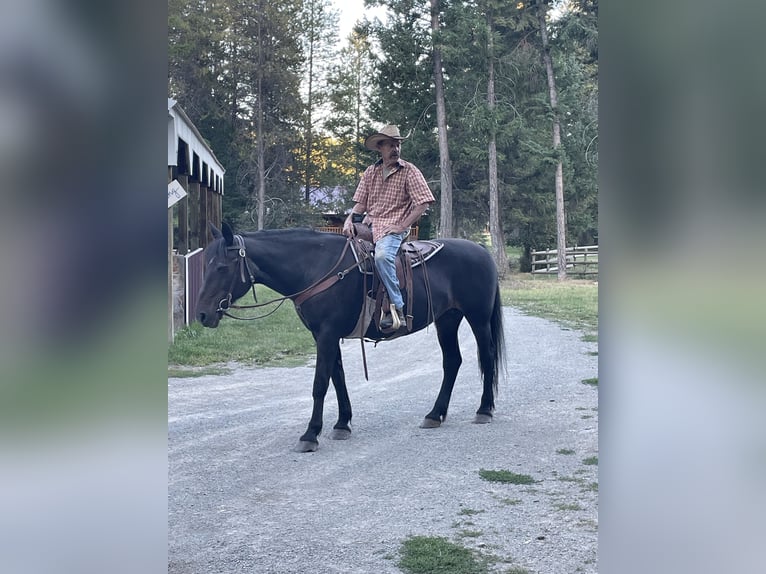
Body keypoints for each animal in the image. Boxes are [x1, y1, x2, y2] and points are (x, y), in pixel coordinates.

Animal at [198, 225, 508, 454]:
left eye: (222, 267)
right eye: (206, 265)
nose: (202, 314)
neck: (315, 267)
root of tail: (481, 250)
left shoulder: (327, 334)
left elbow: (320, 384)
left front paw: (310, 434)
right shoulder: (325, 335)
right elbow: (338, 377)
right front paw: (342, 424)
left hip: (478, 318)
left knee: (487, 356)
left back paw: (484, 409)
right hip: (447, 319)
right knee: (452, 361)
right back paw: (435, 414)